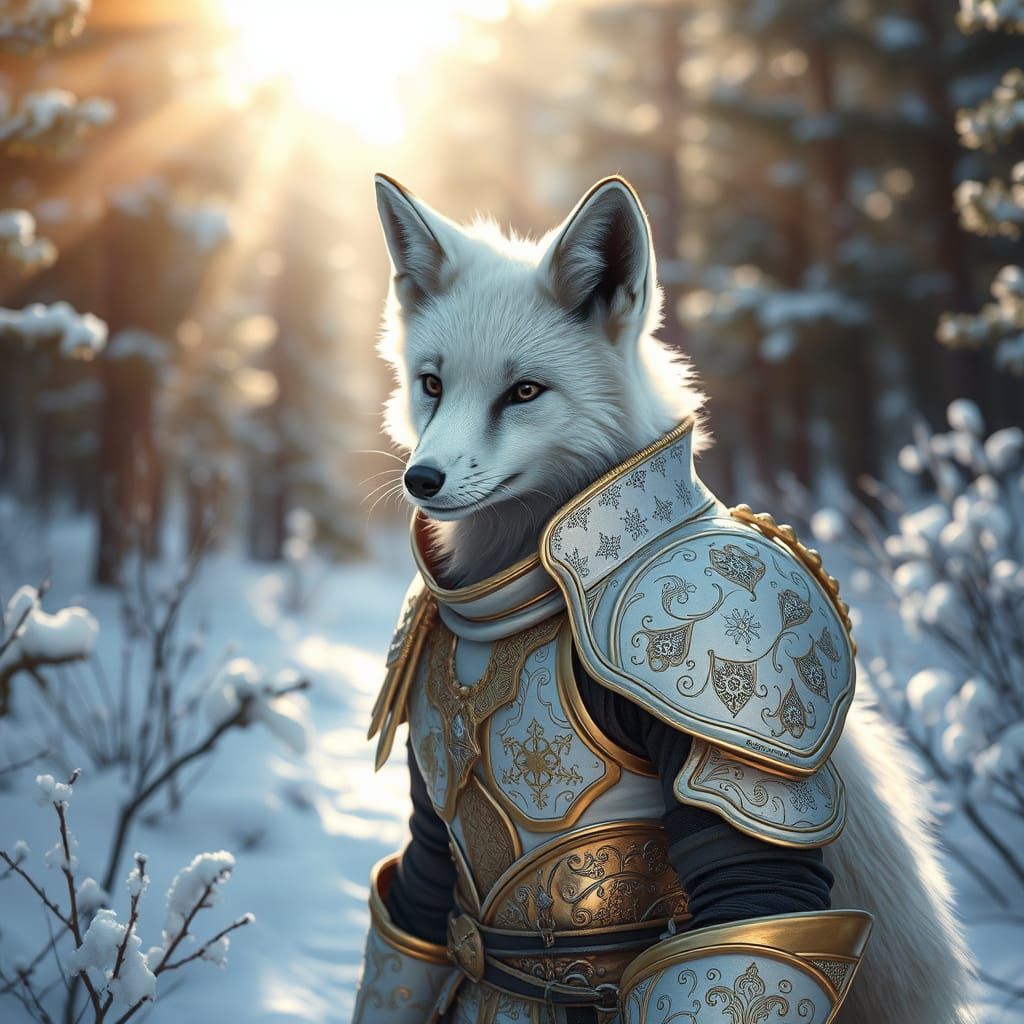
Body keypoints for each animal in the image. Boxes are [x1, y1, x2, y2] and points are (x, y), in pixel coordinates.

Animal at [371, 172, 977, 1024]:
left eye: (523, 392)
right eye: (431, 383)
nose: (421, 480)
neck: (514, 594)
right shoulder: (429, 832)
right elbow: (413, 921)